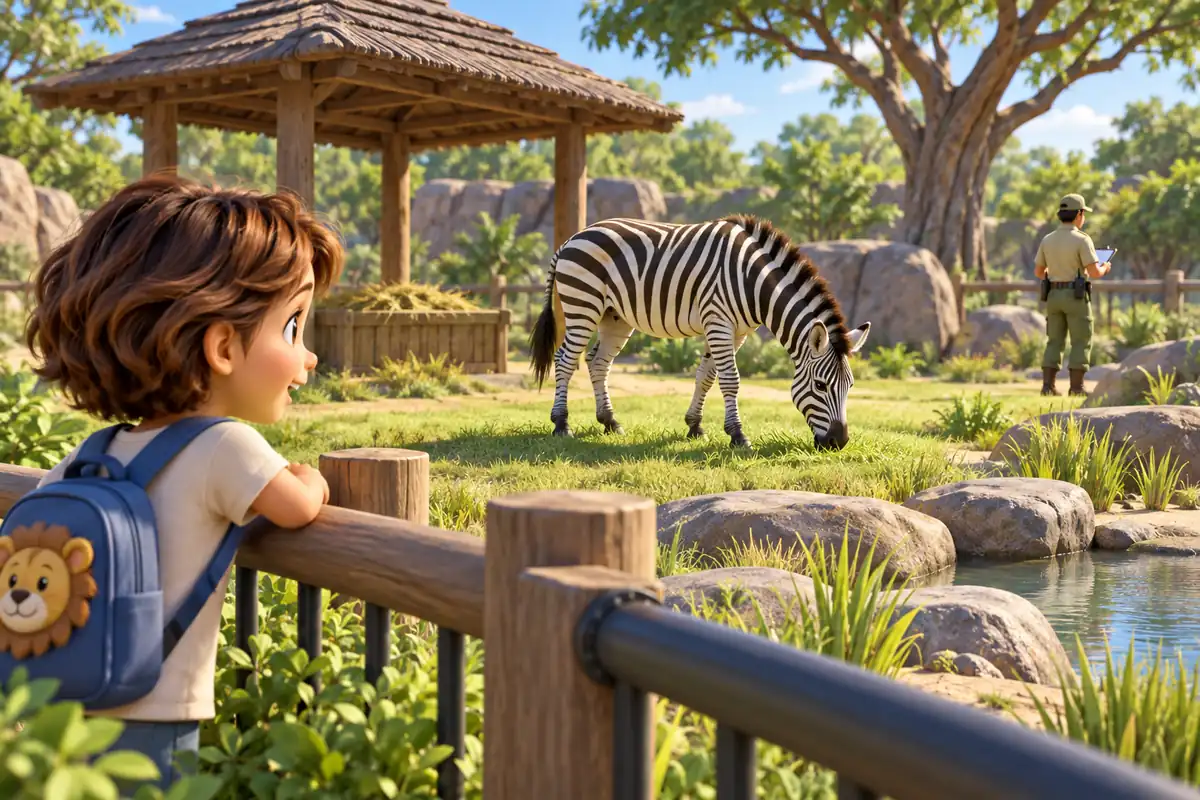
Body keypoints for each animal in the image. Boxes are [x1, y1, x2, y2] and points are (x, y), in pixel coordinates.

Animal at [528, 214, 871, 450]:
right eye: (820, 385)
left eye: (851, 386)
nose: (839, 442)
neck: (753, 282)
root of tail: (572, 239)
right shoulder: (719, 321)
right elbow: (730, 380)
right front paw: (738, 435)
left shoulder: (736, 331)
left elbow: (707, 376)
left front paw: (694, 426)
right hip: (582, 304)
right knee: (565, 360)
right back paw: (561, 424)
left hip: (615, 317)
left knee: (598, 363)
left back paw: (610, 422)